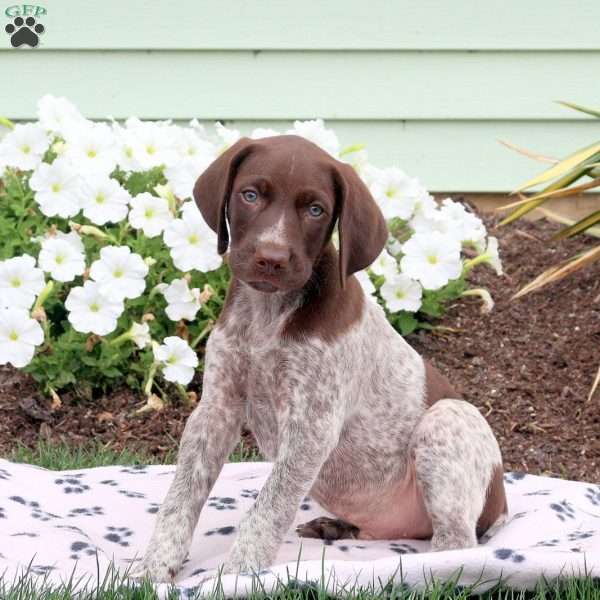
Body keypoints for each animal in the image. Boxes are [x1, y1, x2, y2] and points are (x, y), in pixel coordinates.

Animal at [137, 135, 506, 580]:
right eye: (250, 195)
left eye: (316, 210)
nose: (272, 258)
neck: (269, 315)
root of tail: (502, 509)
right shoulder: (216, 409)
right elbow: (182, 494)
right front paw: (155, 566)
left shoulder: (310, 428)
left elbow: (268, 509)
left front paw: (239, 574)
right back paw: (338, 528)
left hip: (447, 419)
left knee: (456, 545)